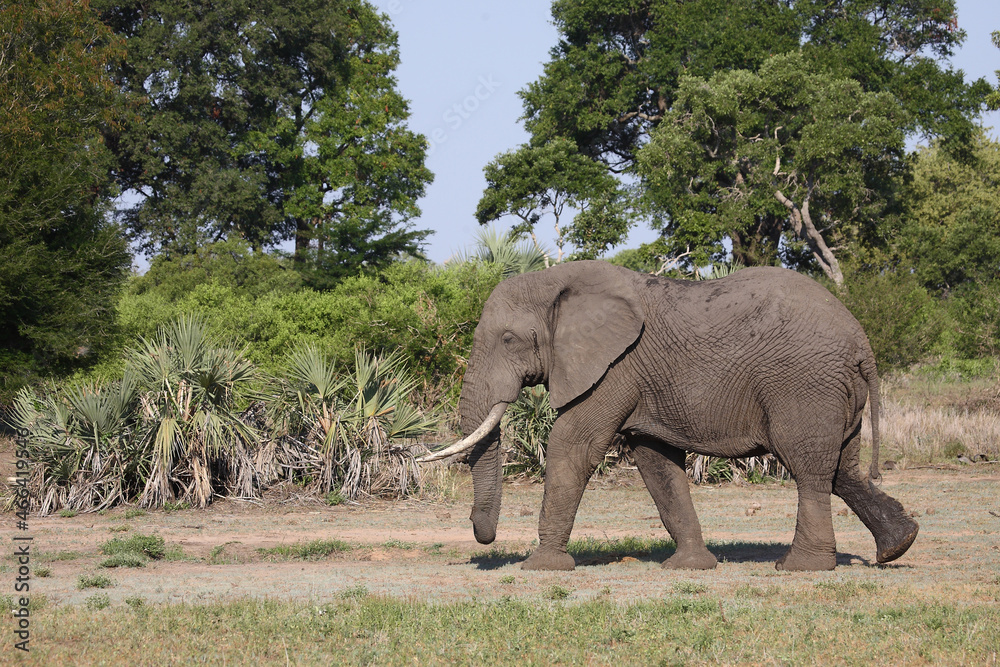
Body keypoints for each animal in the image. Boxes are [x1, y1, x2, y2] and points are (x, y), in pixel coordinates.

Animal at [420, 260, 918, 572]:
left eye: (508, 339)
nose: (483, 536)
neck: (559, 280)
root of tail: (862, 343)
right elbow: (655, 461)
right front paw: (690, 567)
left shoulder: (616, 367)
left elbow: (573, 445)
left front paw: (541, 567)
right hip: (832, 390)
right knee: (842, 468)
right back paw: (898, 546)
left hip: (805, 383)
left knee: (809, 467)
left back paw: (799, 567)